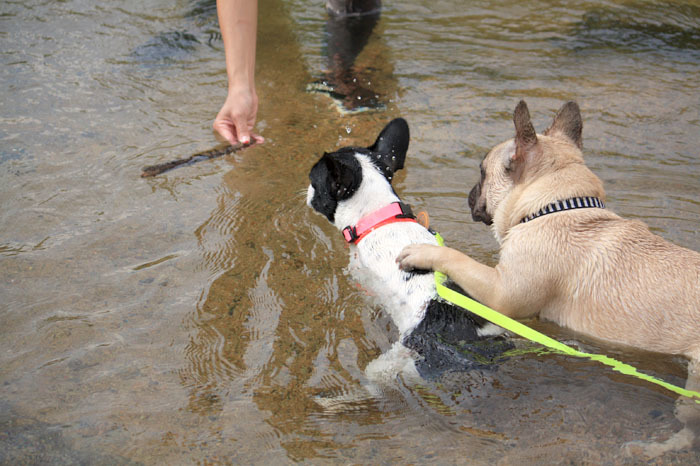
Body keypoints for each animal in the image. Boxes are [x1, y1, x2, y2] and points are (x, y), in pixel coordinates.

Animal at [400, 100, 700, 456]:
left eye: (482, 171)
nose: (470, 194)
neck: (557, 206)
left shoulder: (501, 293)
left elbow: (459, 258)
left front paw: (423, 251)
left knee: (689, 430)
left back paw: (650, 448)